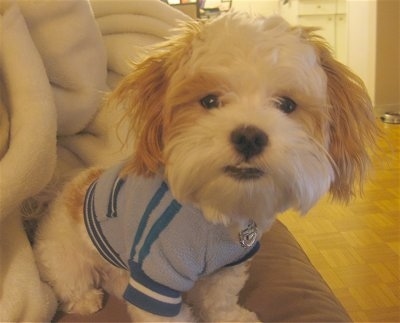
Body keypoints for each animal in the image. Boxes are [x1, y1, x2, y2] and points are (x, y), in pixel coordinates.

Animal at [33, 11, 378, 322]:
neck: (215, 218)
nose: (249, 136)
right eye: (210, 101)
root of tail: (62, 189)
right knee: (71, 281)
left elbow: (219, 299)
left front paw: (232, 317)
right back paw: (85, 299)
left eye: (287, 105)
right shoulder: (155, 278)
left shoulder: (226, 267)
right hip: (66, 256)